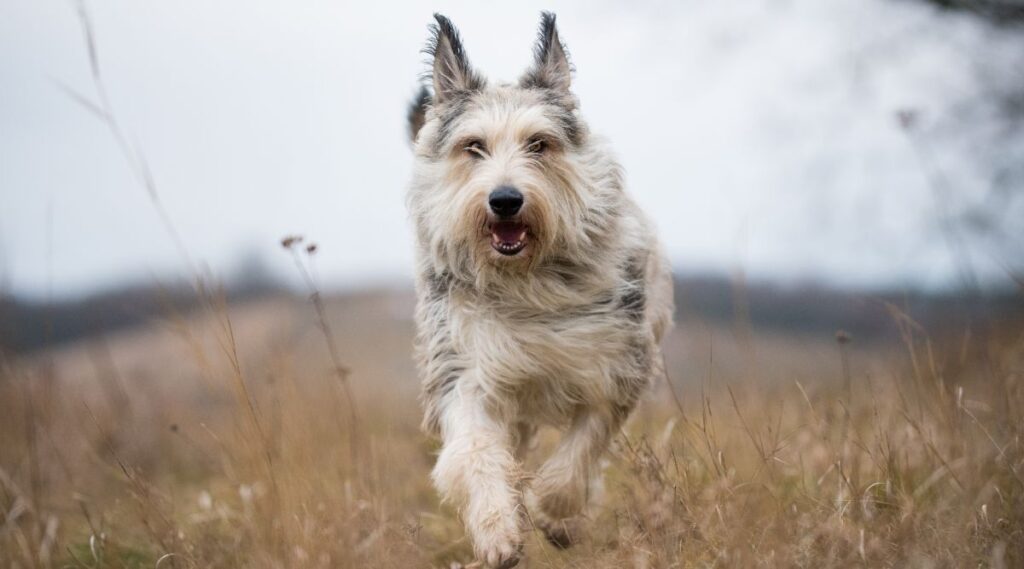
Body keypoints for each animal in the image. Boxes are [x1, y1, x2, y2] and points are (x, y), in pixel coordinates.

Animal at [403, 13, 675, 569]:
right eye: (473, 146)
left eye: (539, 144)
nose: (505, 199)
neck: (526, 281)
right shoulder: (464, 366)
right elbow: (477, 450)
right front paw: (497, 529)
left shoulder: (617, 363)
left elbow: (582, 449)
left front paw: (554, 513)